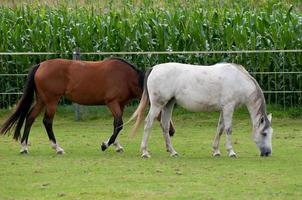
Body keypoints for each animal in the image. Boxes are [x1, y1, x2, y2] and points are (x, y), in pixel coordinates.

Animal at [0, 57, 175, 155]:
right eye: (162, 108)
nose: (172, 131)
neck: (125, 77)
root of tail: (40, 65)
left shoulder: (120, 105)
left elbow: (116, 125)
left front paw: (116, 145)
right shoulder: (112, 103)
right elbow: (118, 124)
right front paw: (105, 145)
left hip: (42, 100)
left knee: (30, 118)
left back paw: (24, 147)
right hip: (51, 101)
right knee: (47, 122)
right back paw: (57, 148)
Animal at [127, 62, 274, 158]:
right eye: (264, 133)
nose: (267, 153)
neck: (239, 80)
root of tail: (155, 68)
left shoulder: (223, 109)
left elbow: (220, 128)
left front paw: (216, 151)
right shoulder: (228, 107)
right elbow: (228, 129)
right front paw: (231, 152)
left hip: (168, 104)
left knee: (165, 125)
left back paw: (173, 151)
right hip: (157, 105)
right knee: (148, 123)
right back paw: (145, 152)